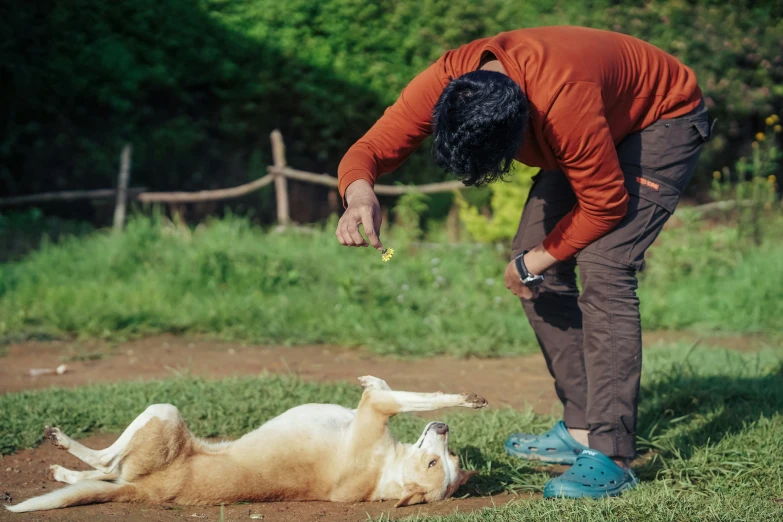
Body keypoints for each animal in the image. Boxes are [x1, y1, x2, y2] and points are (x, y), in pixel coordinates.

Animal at [4, 376, 484, 510]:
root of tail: (147, 492)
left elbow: (411, 397)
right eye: (445, 459)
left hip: (163, 413)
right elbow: (397, 393)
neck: (386, 474)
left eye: (435, 467)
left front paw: (463, 400)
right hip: (147, 442)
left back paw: (61, 444)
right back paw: (62, 467)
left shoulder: (378, 408)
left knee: (106, 463)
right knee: (105, 472)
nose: (445, 431)